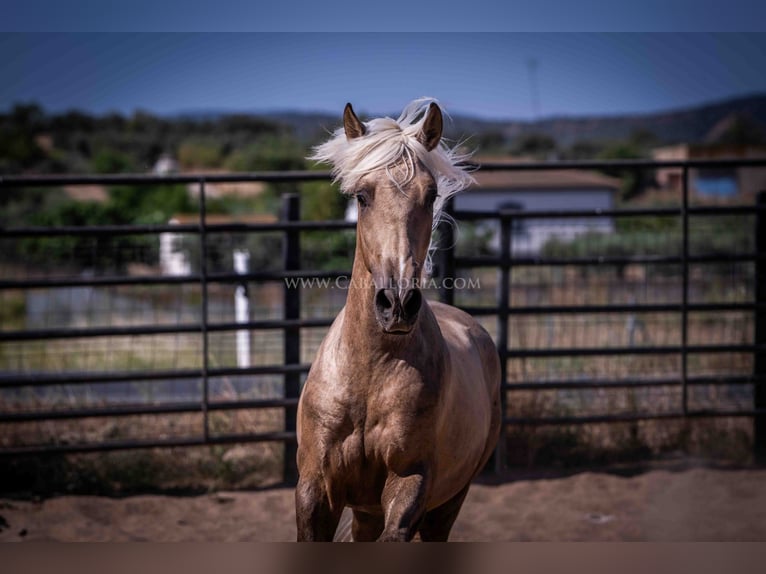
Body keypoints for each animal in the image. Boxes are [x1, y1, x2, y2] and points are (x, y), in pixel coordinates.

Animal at [296, 100, 504, 544]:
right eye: (362, 196)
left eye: (431, 195)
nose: (397, 304)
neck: (369, 375)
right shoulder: (315, 491)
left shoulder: (409, 485)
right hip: (365, 511)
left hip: (448, 501)